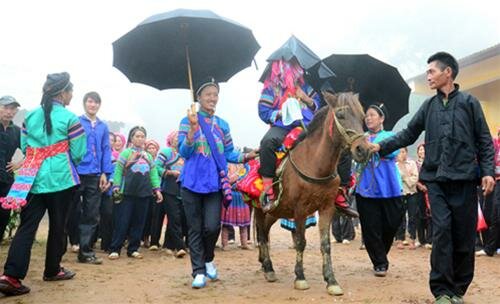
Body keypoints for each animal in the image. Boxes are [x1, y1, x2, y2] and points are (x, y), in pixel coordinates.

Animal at [254, 91, 372, 296]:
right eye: (340, 115)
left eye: (362, 117)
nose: (362, 150)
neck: (316, 164)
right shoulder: (300, 210)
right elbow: (300, 241)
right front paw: (300, 278)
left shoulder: (327, 208)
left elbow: (325, 245)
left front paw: (331, 280)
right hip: (259, 208)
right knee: (261, 233)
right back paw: (268, 268)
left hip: (276, 211)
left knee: (266, 232)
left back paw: (265, 264)